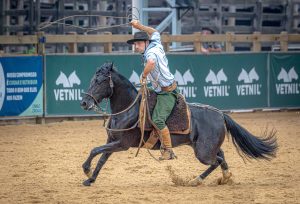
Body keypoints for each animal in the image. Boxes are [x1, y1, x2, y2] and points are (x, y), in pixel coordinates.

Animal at [79, 62, 276, 186]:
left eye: (99, 81)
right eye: (92, 80)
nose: (84, 103)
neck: (129, 109)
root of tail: (221, 114)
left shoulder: (122, 144)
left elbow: (95, 151)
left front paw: (86, 170)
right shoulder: (112, 142)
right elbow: (102, 158)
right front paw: (90, 179)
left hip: (203, 152)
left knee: (216, 161)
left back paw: (196, 181)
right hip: (206, 147)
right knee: (222, 157)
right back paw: (225, 178)